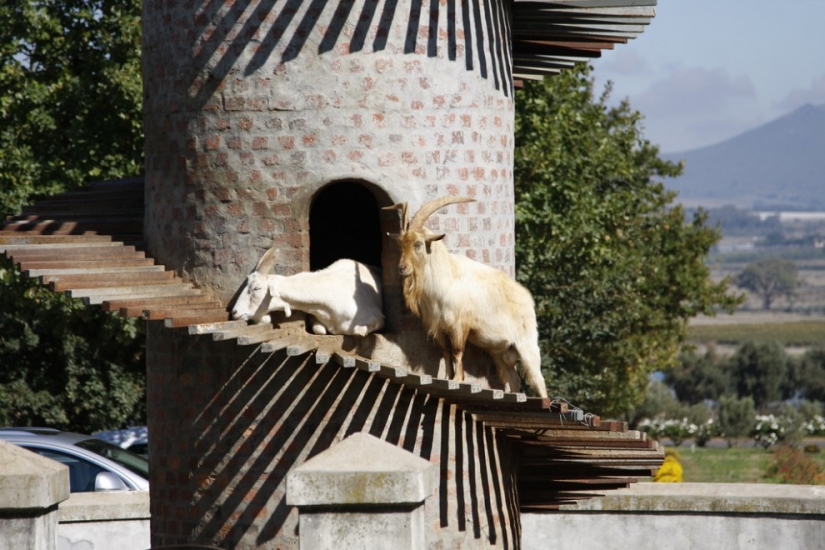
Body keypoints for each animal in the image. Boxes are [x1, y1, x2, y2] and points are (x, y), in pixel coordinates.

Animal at [385, 196, 548, 398]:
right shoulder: (439, 327)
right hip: (500, 352)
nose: (402, 268)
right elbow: (445, 351)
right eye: (401, 244)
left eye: (418, 244)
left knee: (538, 380)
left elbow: (457, 351)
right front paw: (447, 377)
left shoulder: (459, 325)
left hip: (527, 344)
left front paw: (457, 379)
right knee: (514, 380)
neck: (446, 279)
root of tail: (527, 299)